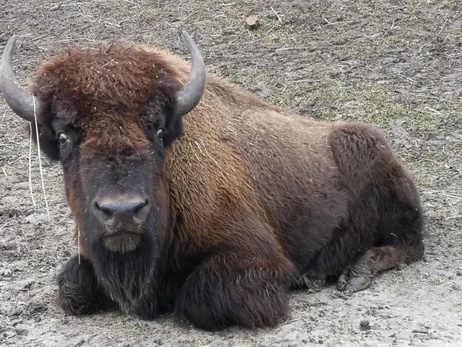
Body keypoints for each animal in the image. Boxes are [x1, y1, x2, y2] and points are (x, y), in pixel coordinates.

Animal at [0, 32, 426, 332]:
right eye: (64, 136)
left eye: (156, 129)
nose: (122, 211)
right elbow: (70, 288)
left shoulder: (255, 258)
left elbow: (197, 298)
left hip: (378, 173)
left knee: (408, 244)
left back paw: (344, 274)